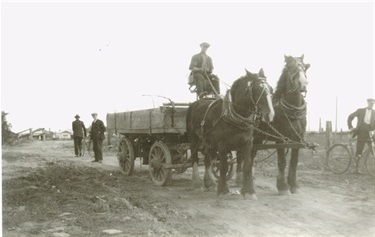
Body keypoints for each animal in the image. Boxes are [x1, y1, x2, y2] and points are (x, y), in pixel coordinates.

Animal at [187, 68, 274, 198]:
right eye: (257, 90)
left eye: (271, 89)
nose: (270, 114)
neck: (234, 116)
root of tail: (193, 104)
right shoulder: (223, 145)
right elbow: (223, 166)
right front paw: (223, 190)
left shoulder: (247, 143)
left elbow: (247, 166)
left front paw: (249, 191)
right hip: (194, 139)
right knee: (195, 159)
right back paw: (197, 184)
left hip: (210, 143)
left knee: (208, 161)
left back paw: (210, 183)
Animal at [238, 54, 312, 195]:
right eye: (290, 67)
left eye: (304, 67)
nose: (303, 84)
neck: (293, 112)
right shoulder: (280, 139)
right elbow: (282, 162)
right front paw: (283, 186)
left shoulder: (298, 139)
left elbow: (294, 161)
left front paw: (293, 185)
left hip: (257, 139)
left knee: (250, 157)